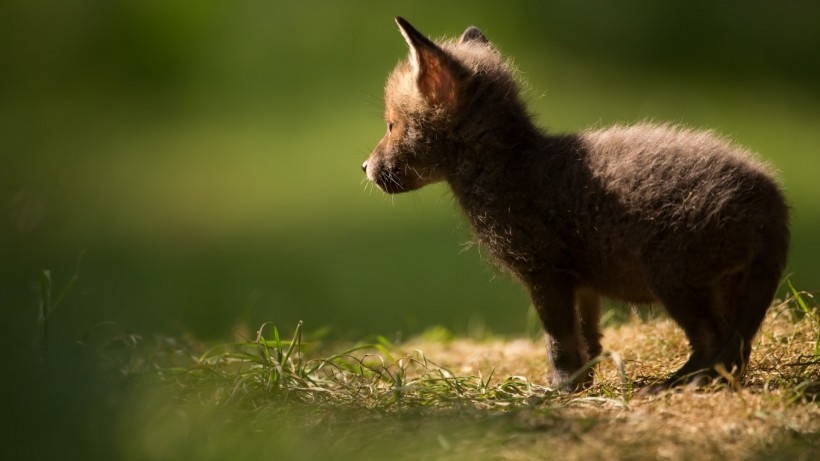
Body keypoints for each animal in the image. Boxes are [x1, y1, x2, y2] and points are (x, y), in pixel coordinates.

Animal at [362, 18, 792, 392]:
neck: (509, 165)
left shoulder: (545, 273)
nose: (364, 167)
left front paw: (560, 388)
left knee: (713, 339)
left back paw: (680, 384)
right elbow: (589, 338)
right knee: (736, 346)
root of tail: (772, 195)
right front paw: (583, 383)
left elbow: (559, 340)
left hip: (674, 277)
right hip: (727, 285)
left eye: (391, 125)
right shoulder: (582, 282)